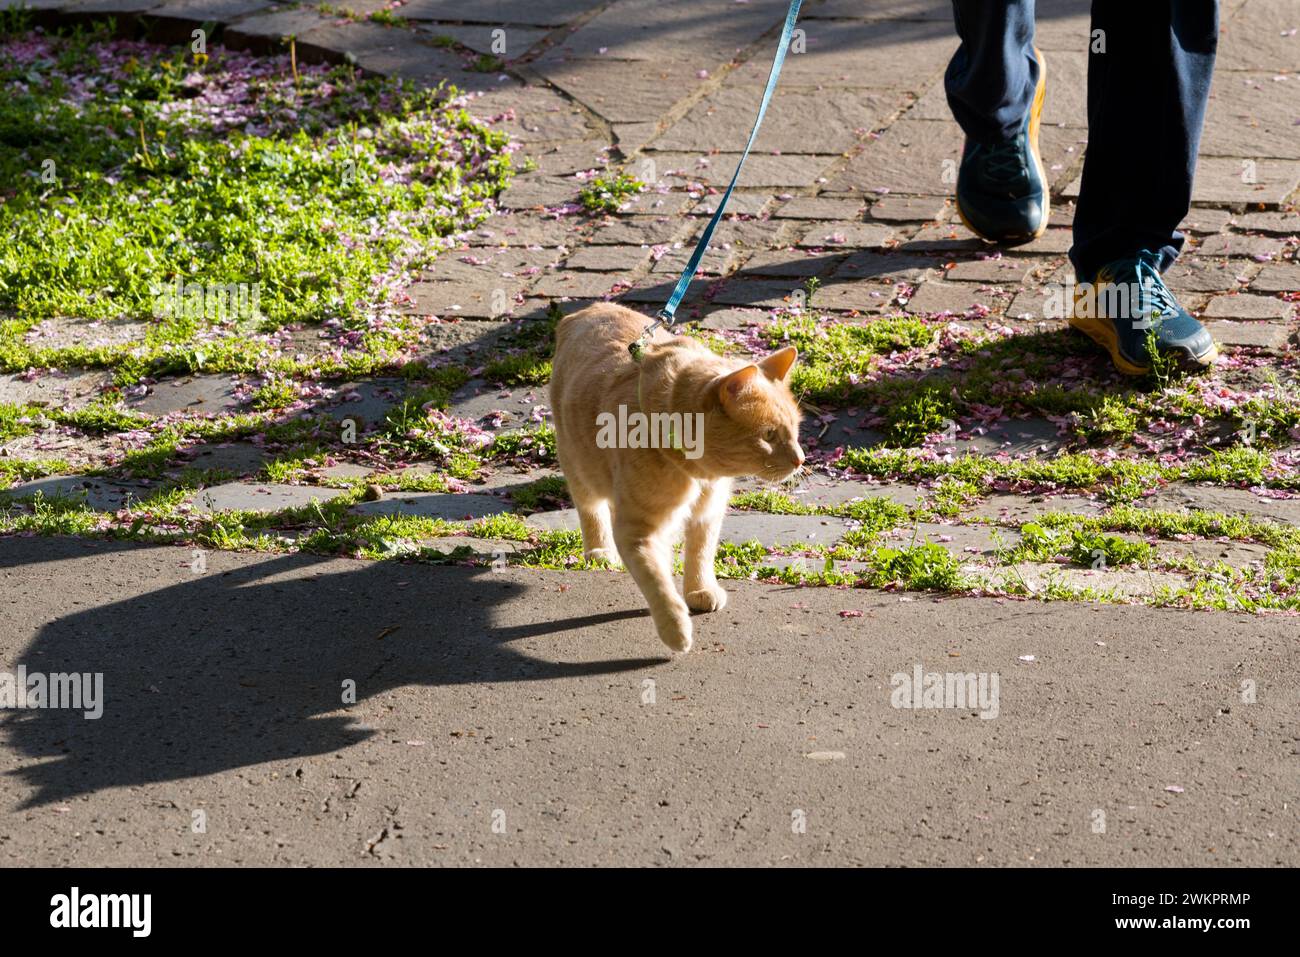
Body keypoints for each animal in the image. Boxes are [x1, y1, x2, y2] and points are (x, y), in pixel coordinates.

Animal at [548, 302, 800, 655]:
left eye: (796, 429)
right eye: (768, 435)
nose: (800, 459)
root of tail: (591, 308)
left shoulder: (708, 514)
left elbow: (700, 554)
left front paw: (699, 590)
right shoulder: (638, 531)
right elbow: (657, 581)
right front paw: (675, 628)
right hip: (578, 465)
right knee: (591, 508)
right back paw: (599, 550)